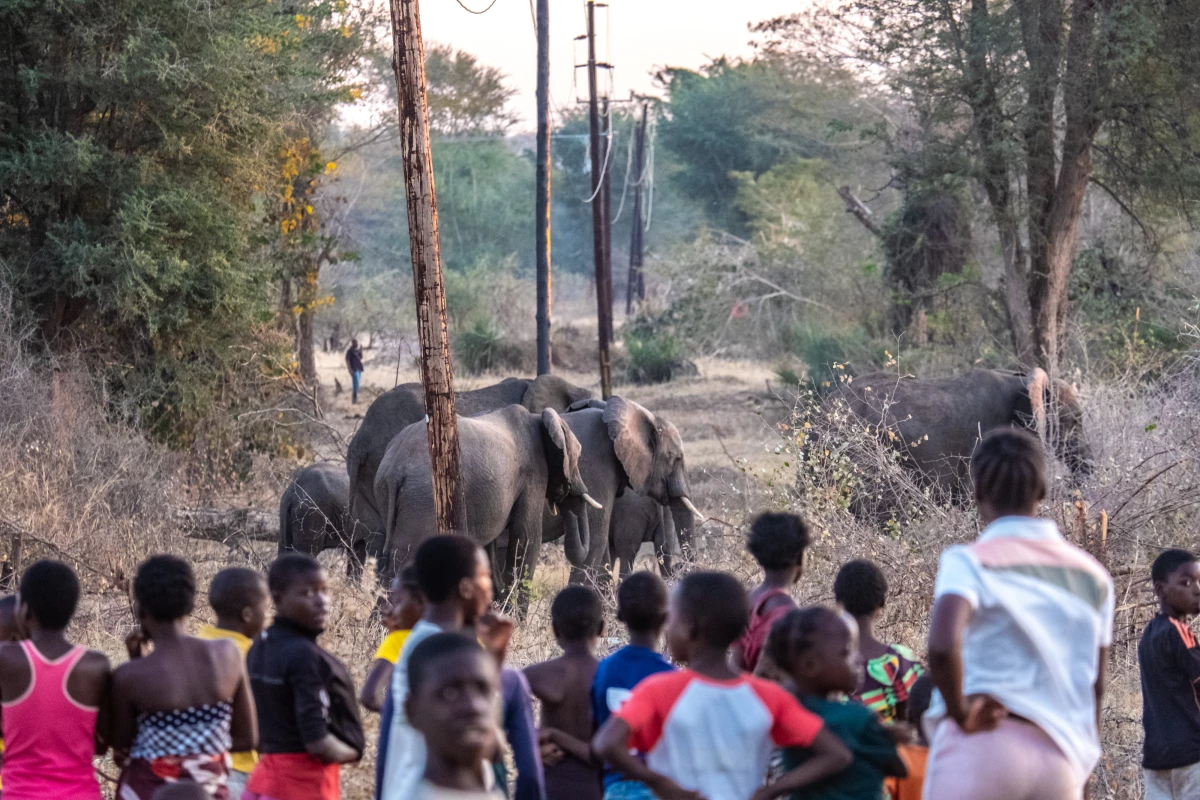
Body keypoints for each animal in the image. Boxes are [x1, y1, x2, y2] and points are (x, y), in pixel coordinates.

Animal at [374, 405, 601, 603]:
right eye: (579, 455)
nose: (567, 493)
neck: (539, 417)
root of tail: (394, 469)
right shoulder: (533, 473)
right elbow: (527, 539)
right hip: (422, 495)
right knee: (405, 558)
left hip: (389, 494)